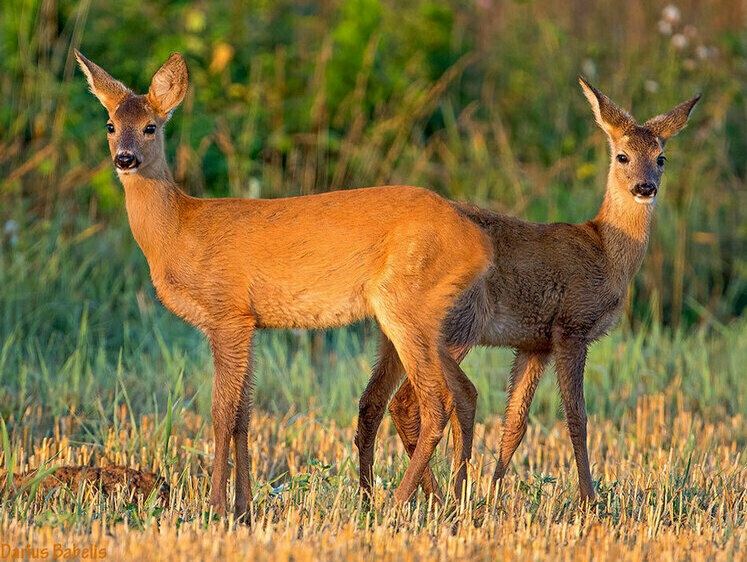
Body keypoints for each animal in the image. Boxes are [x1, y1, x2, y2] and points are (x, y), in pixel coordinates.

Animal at [77, 51, 496, 516]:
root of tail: (479, 243)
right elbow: (244, 414)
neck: (178, 232)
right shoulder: (249, 323)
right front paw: (243, 509)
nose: (125, 159)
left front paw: (216, 507)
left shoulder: (227, 313)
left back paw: (395, 505)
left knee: (435, 400)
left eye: (151, 126)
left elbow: (220, 413)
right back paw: (448, 504)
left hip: (405, 304)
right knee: (460, 394)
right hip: (423, 316)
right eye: (111, 124)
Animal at [356, 76, 700, 500]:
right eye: (622, 156)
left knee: (373, 401)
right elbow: (577, 418)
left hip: (394, 334)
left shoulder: (534, 343)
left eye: (661, 157)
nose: (645, 187)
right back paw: (427, 497)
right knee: (408, 403)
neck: (605, 252)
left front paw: (490, 497)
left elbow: (515, 424)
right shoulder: (572, 326)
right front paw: (590, 501)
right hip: (454, 327)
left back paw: (383, 496)